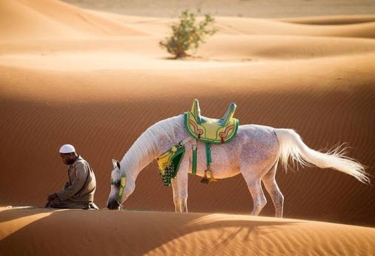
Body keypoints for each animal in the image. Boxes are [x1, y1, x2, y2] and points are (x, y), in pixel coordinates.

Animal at [106, 114, 370, 216]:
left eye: (117, 182)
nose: (109, 205)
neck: (167, 138)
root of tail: (275, 132)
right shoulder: (175, 173)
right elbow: (176, 199)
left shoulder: (180, 171)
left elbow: (181, 197)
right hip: (268, 175)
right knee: (278, 198)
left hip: (252, 176)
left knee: (260, 201)